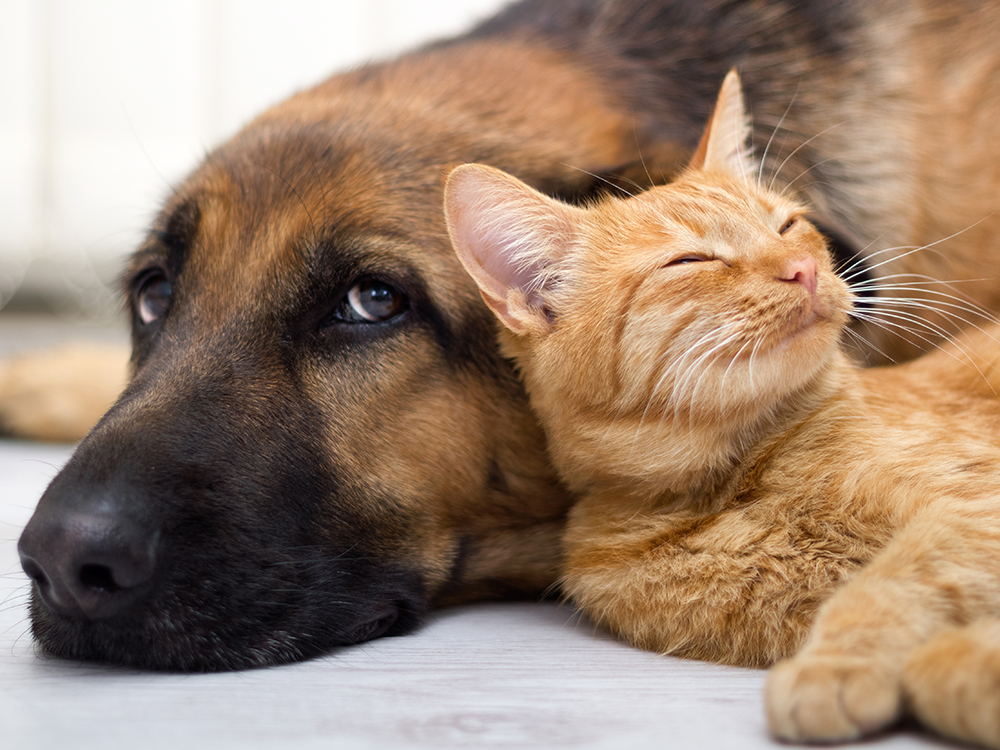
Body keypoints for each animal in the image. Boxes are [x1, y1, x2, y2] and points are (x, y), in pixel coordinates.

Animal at [446, 69, 1000, 748]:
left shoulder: (973, 505)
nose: (802, 269)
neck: (737, 482)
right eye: (692, 260)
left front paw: (834, 665)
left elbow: (897, 580)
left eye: (787, 226)